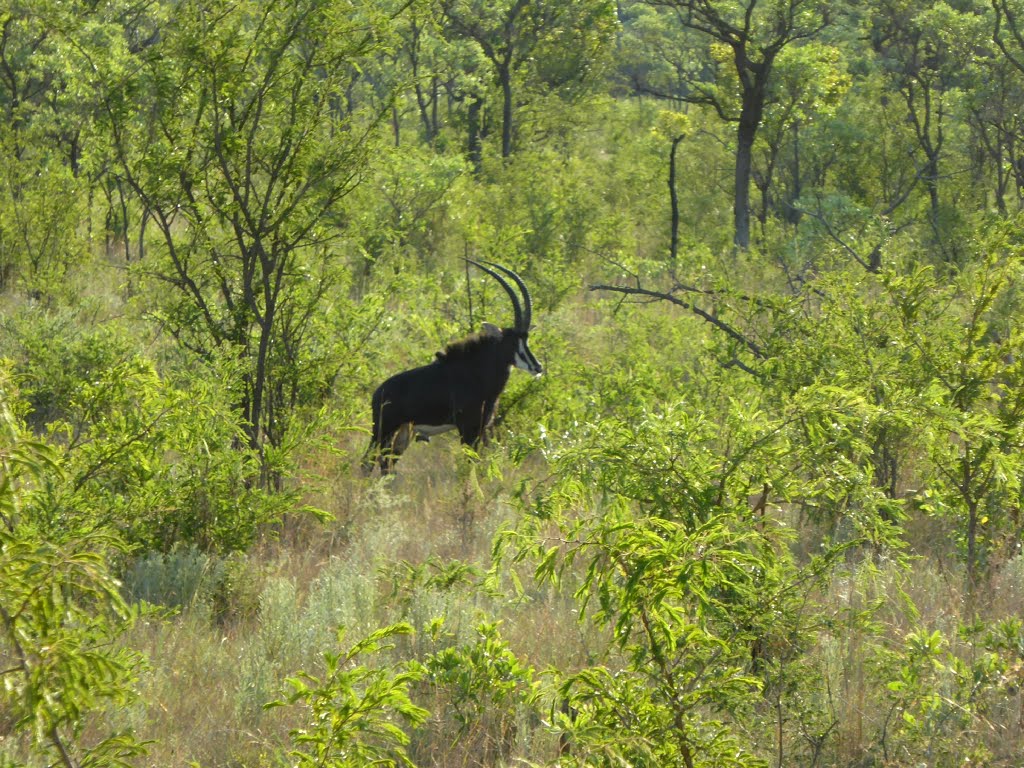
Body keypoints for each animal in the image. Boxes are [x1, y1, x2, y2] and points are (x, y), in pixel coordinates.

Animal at [366, 262, 544, 473]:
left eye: (526, 338)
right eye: (512, 342)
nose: (537, 367)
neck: (477, 373)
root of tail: (378, 393)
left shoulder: (481, 428)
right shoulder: (467, 427)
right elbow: (469, 466)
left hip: (402, 431)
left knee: (387, 463)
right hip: (383, 430)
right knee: (368, 463)